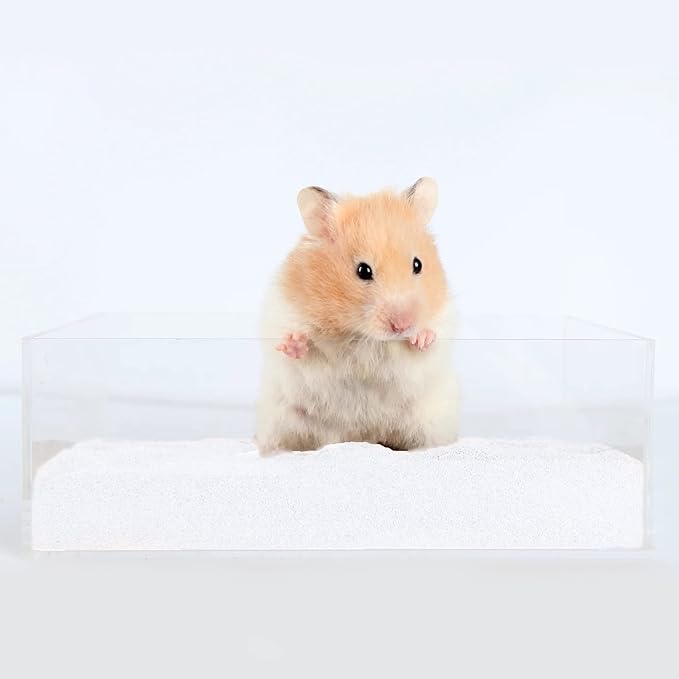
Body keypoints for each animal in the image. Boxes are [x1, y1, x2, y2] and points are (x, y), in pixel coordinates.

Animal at [255, 177, 458, 454]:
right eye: (363, 270)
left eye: (418, 264)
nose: (402, 325)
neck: (362, 336)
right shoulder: (284, 316)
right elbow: (303, 351)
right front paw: (294, 342)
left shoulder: (442, 324)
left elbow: (430, 344)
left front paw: (422, 337)